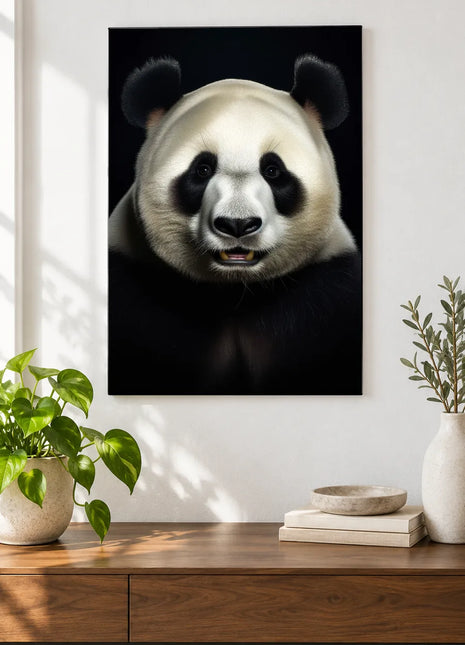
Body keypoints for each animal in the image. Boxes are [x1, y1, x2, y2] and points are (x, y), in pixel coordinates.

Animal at [108, 55, 362, 395]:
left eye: (273, 170)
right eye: (202, 169)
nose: (237, 224)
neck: (236, 294)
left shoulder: (326, 293)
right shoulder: (134, 288)